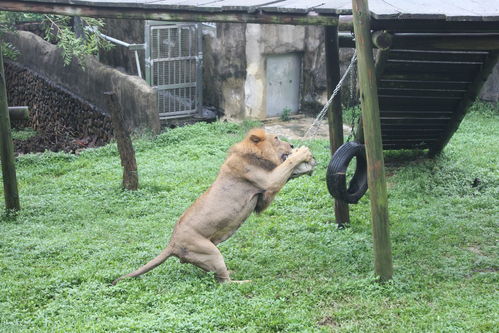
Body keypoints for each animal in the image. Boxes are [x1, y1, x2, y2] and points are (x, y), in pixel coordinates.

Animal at [113, 128, 312, 284]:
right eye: (277, 138)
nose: (292, 145)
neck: (256, 154)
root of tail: (172, 244)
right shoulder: (269, 181)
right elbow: (288, 164)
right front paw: (303, 153)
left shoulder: (262, 199)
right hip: (211, 252)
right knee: (224, 282)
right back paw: (245, 281)